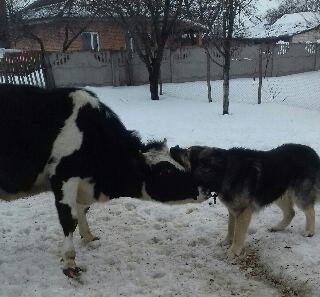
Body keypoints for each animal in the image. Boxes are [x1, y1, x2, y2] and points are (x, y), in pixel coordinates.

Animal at [0, 84, 200, 278]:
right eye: (165, 172)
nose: (202, 190)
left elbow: (82, 210)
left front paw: (88, 237)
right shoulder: (63, 177)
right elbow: (69, 219)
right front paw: (70, 263)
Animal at [171, 143, 320, 254]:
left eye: (187, 152)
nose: (173, 147)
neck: (222, 171)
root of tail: (313, 153)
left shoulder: (243, 212)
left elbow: (238, 233)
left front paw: (233, 251)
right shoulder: (233, 210)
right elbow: (231, 228)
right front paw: (227, 241)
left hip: (299, 194)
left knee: (309, 210)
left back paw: (309, 231)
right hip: (277, 193)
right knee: (291, 212)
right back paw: (278, 227)